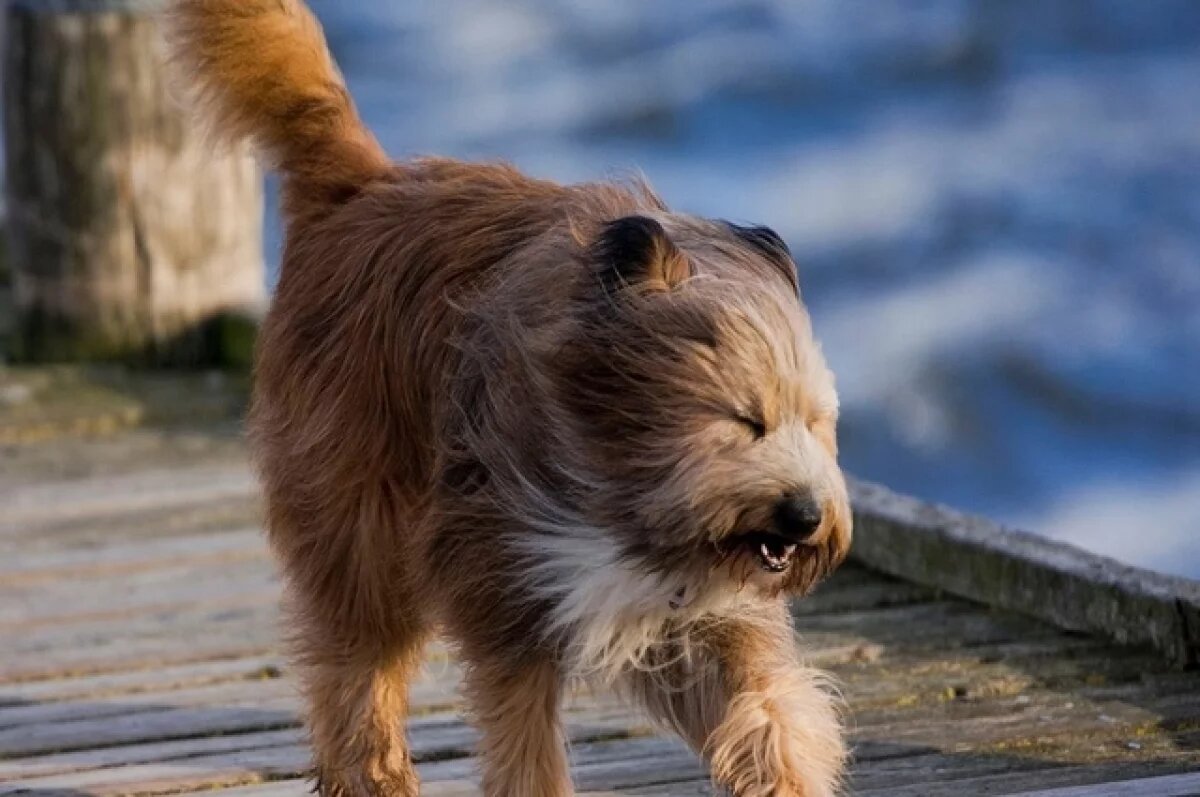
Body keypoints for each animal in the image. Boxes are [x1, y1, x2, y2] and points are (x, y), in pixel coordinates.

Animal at [174, 3, 854, 792]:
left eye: (816, 424)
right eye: (744, 420)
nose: (805, 516)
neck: (621, 489)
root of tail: (365, 184)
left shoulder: (694, 614)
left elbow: (767, 707)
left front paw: (784, 770)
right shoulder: (507, 584)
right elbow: (524, 741)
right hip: (360, 524)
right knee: (355, 667)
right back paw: (373, 771)